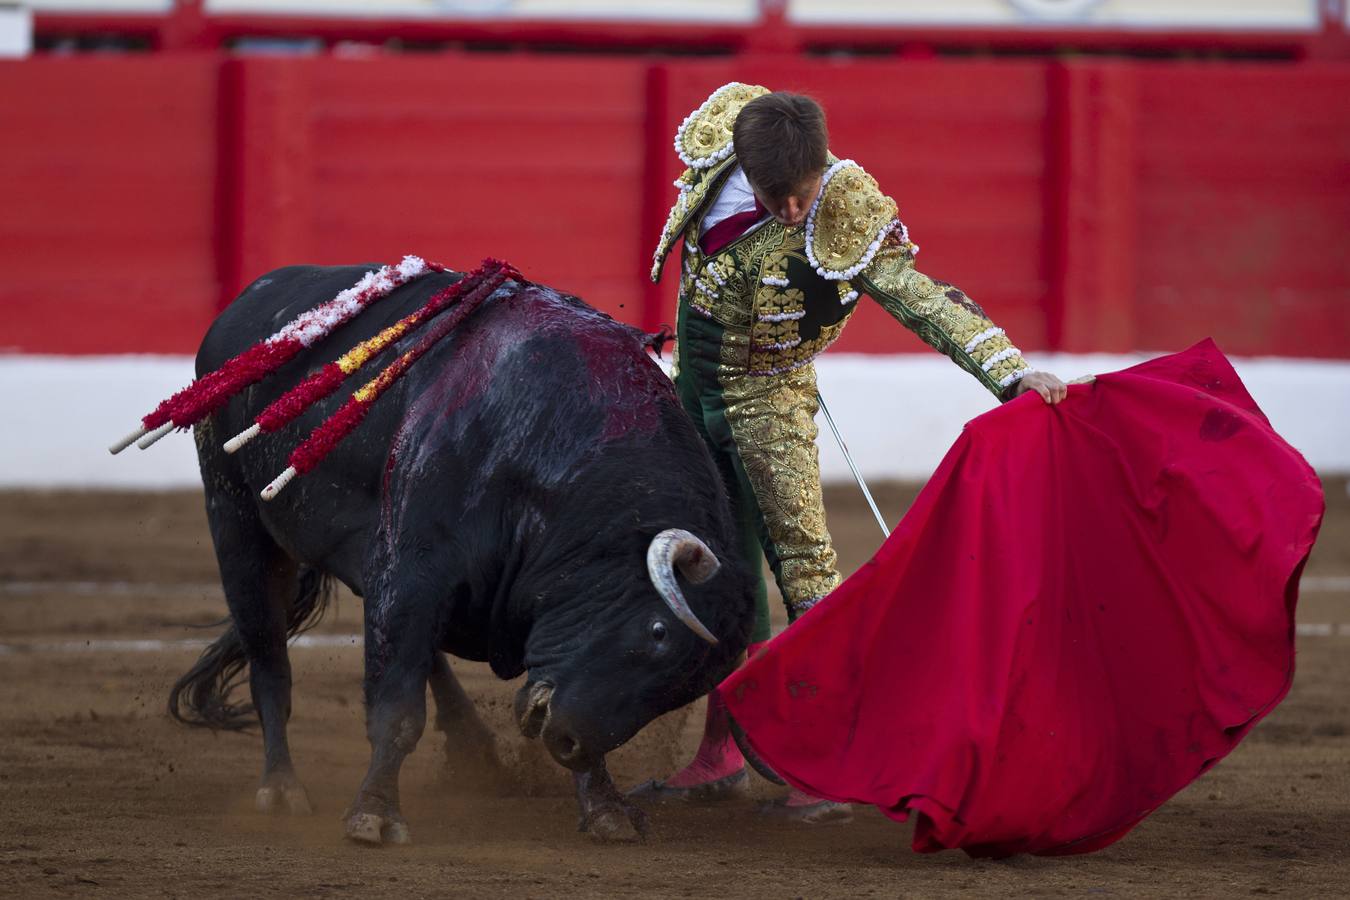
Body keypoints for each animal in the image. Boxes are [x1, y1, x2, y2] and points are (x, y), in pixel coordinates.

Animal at [168, 265, 756, 847]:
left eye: (685, 687)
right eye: (657, 632)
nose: (568, 743)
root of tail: (245, 303)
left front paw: (606, 808)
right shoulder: (414, 568)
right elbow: (398, 707)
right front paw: (374, 815)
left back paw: (477, 752)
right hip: (236, 521)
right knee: (269, 657)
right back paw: (282, 789)